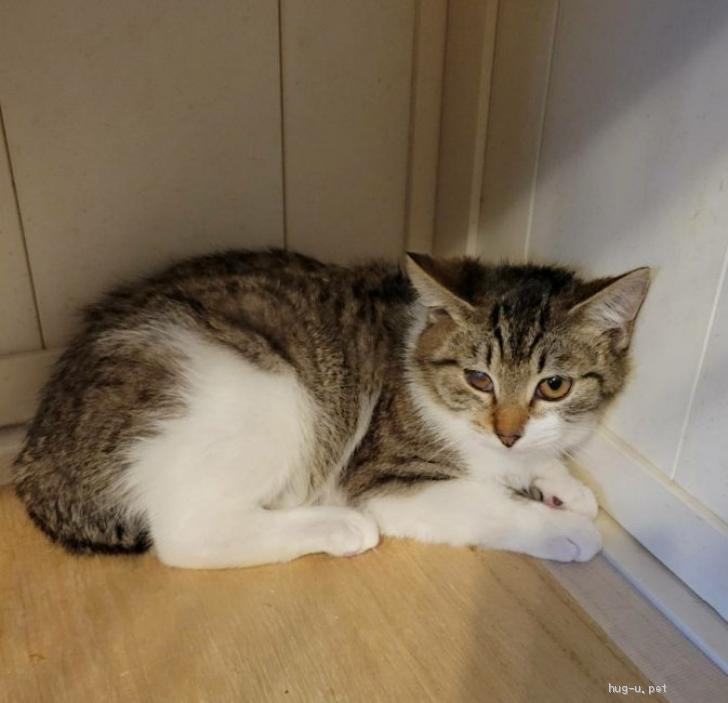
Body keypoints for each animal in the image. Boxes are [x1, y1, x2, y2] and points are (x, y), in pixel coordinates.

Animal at [14, 249, 650, 569]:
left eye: (554, 386)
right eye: (479, 378)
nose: (508, 433)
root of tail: (37, 459)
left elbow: (544, 456)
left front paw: (564, 484)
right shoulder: (384, 476)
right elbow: (489, 505)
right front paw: (565, 528)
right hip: (270, 396)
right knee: (188, 536)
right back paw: (338, 528)